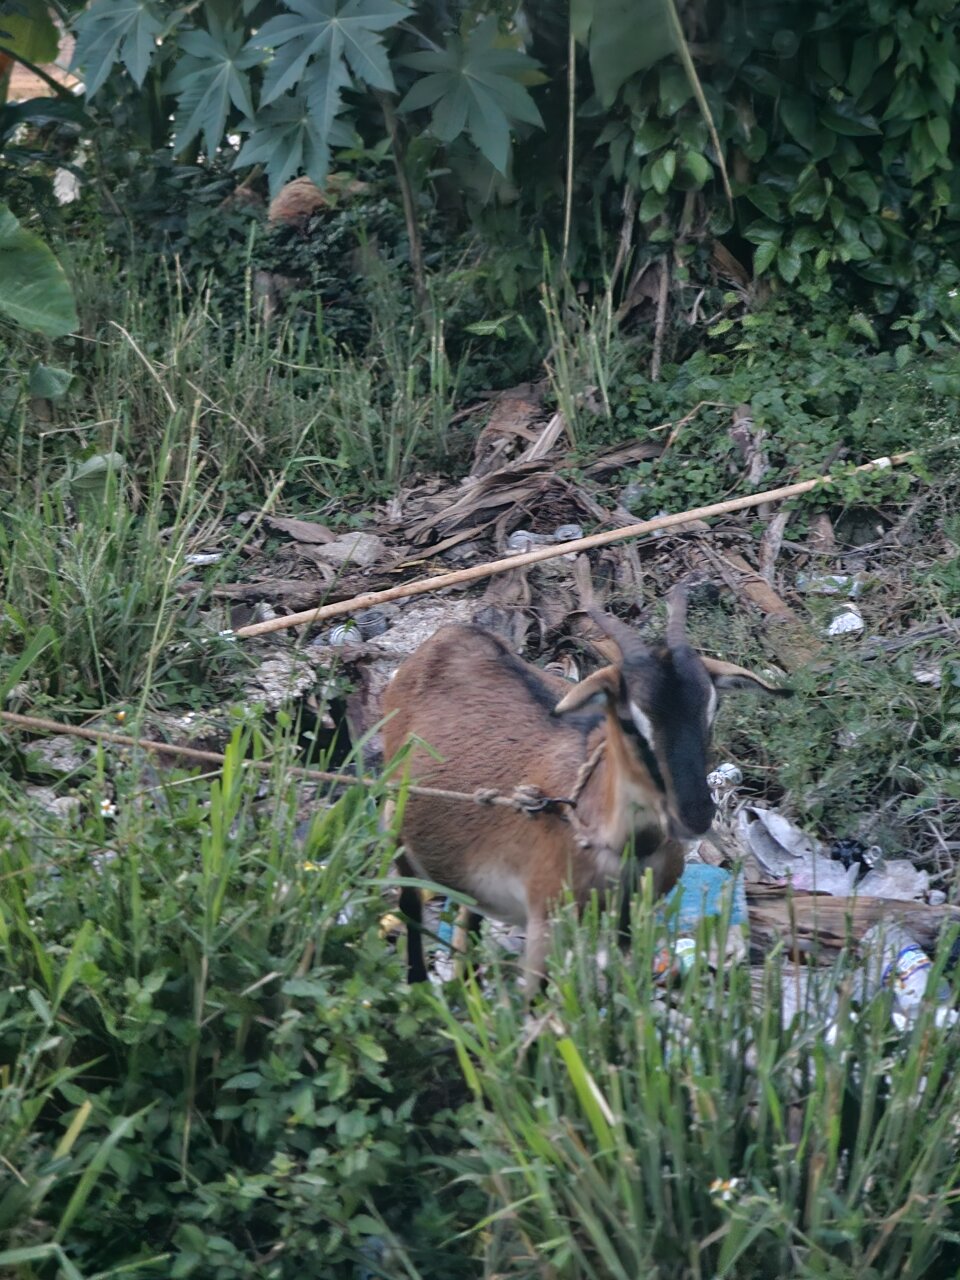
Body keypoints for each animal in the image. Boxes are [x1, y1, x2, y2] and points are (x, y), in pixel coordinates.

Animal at [382, 588, 788, 991]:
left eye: (710, 711)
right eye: (629, 721)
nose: (694, 815)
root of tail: (447, 636)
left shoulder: (631, 922)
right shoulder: (546, 921)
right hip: (396, 822)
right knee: (410, 902)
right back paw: (418, 981)